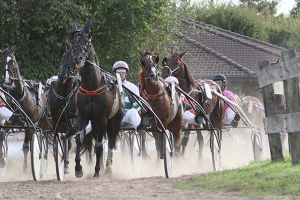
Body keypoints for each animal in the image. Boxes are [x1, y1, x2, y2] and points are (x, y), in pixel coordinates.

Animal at [68, 21, 123, 177]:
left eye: (86, 41)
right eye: (73, 42)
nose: (78, 58)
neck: (92, 87)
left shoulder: (102, 118)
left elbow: (99, 146)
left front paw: (97, 170)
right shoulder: (83, 117)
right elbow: (79, 140)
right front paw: (78, 168)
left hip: (114, 120)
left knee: (111, 142)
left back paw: (108, 167)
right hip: (94, 123)